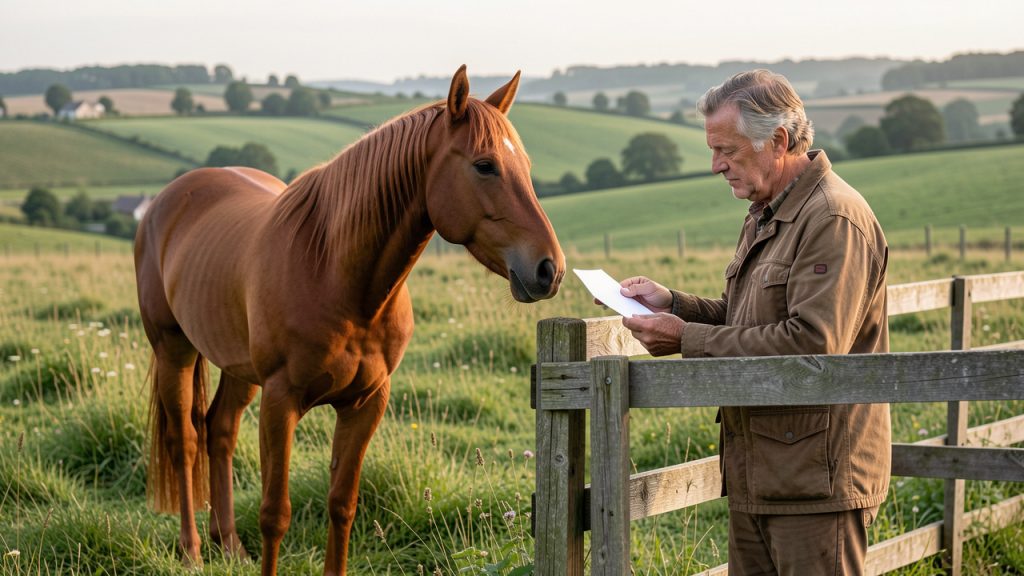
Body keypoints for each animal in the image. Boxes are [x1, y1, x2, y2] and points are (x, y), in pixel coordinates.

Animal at [134, 65, 564, 575]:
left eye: (527, 167)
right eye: (484, 165)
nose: (549, 269)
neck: (336, 275)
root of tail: (168, 200)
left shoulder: (365, 403)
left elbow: (343, 504)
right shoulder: (281, 401)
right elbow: (275, 513)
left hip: (237, 364)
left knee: (219, 431)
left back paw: (230, 545)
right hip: (173, 348)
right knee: (184, 440)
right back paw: (193, 549)